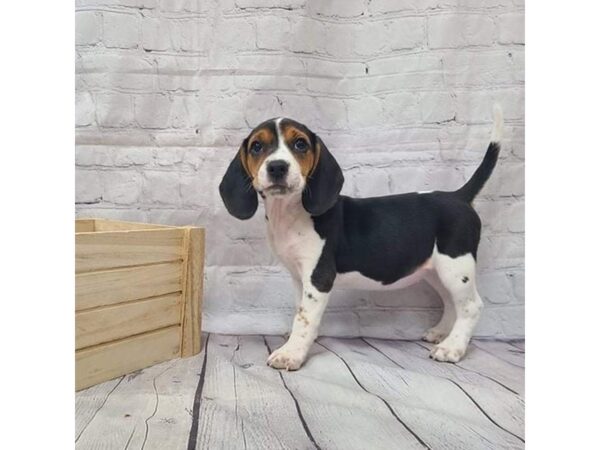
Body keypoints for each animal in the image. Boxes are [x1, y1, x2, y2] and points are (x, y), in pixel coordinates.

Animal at [219, 106, 502, 370]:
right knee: (451, 302)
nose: (277, 166)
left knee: (471, 306)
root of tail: (458, 196)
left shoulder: (318, 277)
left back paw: (452, 348)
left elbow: (305, 318)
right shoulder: (298, 277)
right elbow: (300, 311)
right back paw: (442, 334)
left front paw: (291, 353)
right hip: (437, 271)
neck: (291, 211)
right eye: (257, 146)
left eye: (300, 144)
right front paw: (295, 341)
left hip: (456, 266)